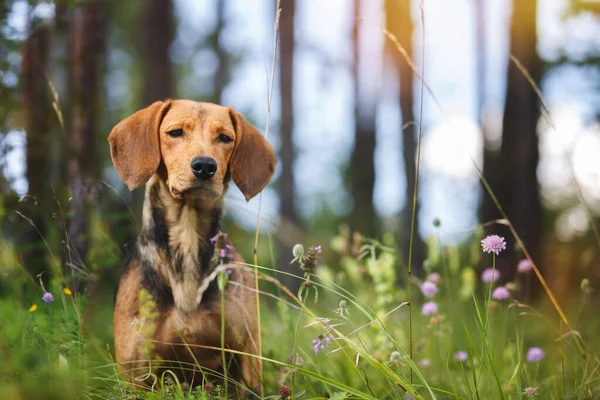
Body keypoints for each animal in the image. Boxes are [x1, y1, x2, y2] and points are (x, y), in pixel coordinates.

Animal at [108, 100, 276, 394]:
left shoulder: (246, 356)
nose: (205, 166)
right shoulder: (135, 369)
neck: (187, 241)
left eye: (225, 138)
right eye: (175, 132)